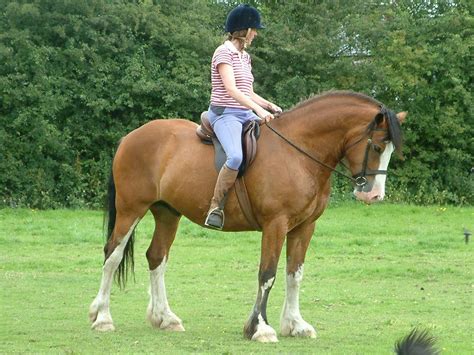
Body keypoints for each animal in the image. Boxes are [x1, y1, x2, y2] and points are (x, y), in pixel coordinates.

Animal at [90, 90, 408, 344]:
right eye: (377, 146)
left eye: (391, 150)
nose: (374, 196)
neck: (298, 152)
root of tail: (131, 136)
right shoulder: (275, 225)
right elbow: (267, 274)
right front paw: (260, 328)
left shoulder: (304, 227)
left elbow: (294, 274)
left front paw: (295, 324)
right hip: (131, 209)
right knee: (112, 255)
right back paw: (102, 317)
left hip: (167, 213)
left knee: (157, 257)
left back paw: (165, 318)